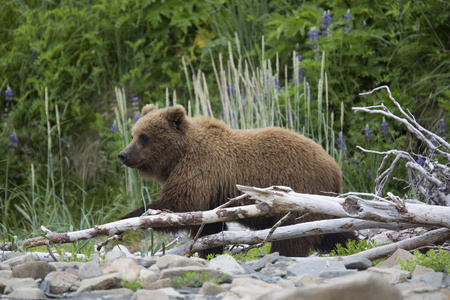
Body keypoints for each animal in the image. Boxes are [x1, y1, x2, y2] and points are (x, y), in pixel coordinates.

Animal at [118, 104, 356, 256]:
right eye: (133, 135)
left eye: (144, 137)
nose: (123, 155)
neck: (178, 156)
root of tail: (334, 167)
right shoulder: (211, 194)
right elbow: (207, 227)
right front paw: (209, 253)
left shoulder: (201, 169)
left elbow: (180, 204)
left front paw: (126, 220)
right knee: (330, 232)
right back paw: (352, 244)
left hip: (301, 192)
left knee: (294, 236)